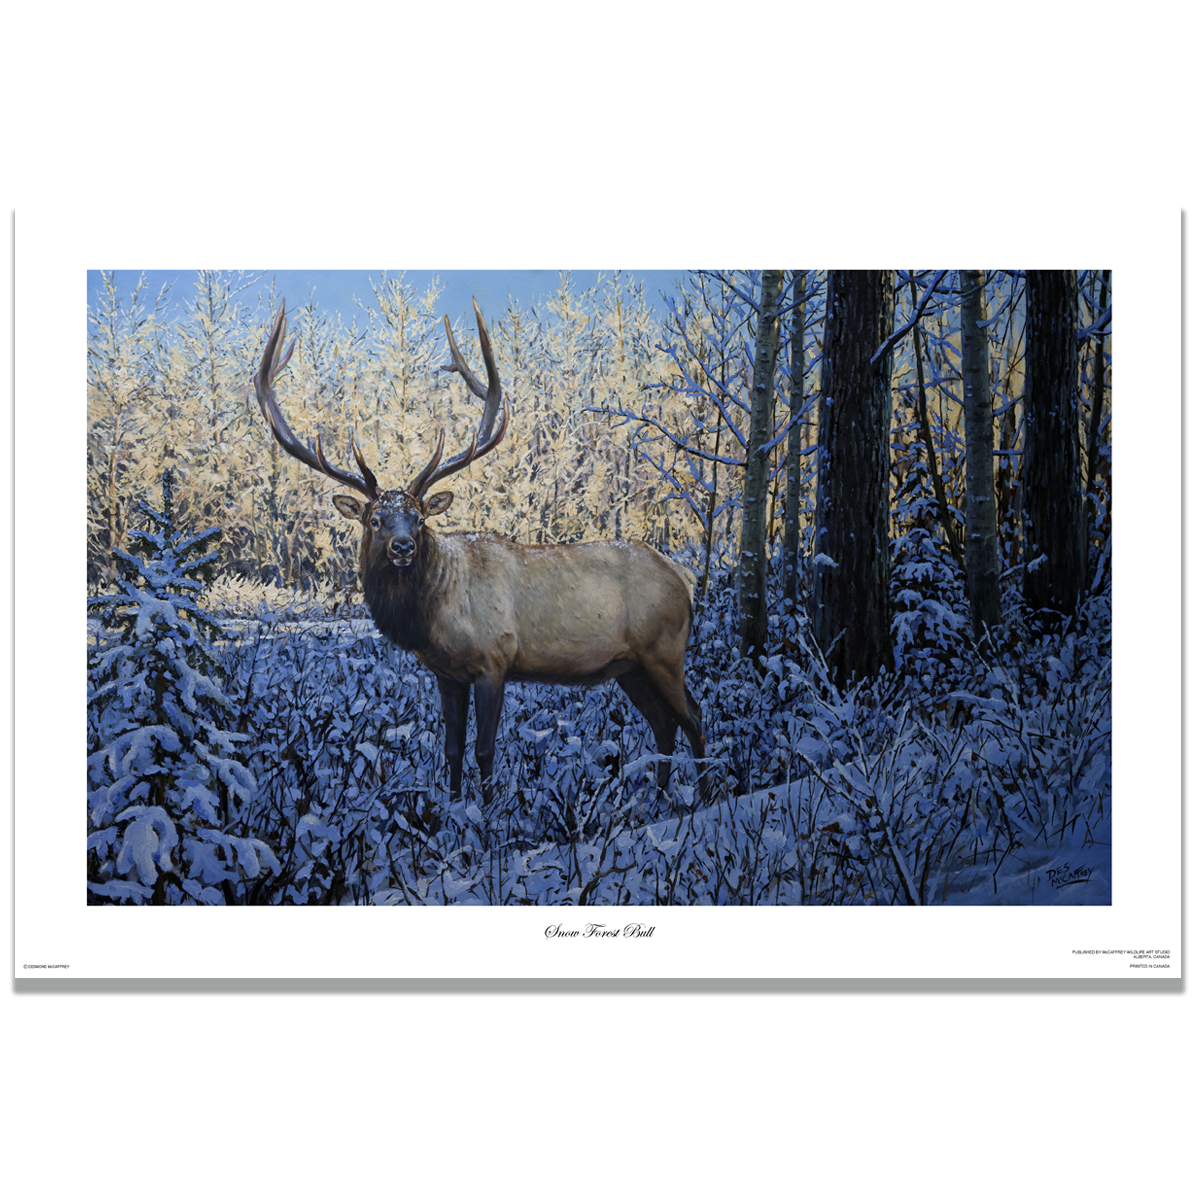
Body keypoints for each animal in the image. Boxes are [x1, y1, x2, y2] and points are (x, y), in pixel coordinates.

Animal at [253, 298, 712, 808]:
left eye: (419, 518)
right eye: (374, 520)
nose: (402, 546)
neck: (435, 615)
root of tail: (682, 577)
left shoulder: (495, 660)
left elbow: (485, 749)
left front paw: (489, 815)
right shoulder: (447, 673)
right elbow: (452, 748)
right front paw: (454, 808)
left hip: (664, 649)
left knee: (694, 718)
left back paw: (706, 795)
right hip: (629, 665)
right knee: (664, 723)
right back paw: (660, 797)